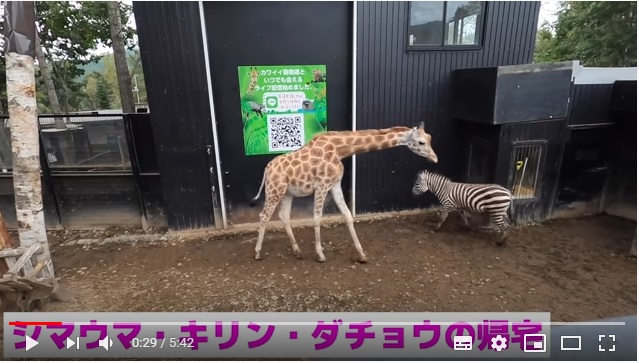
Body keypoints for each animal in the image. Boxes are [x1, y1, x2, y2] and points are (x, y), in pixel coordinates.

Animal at [250, 123, 440, 264]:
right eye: (421, 142)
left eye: (430, 138)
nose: (435, 159)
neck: (340, 150)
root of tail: (267, 169)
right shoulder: (322, 184)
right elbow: (317, 218)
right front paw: (320, 255)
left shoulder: (335, 184)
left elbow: (348, 215)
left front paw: (362, 255)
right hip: (274, 190)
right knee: (264, 215)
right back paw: (257, 253)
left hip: (287, 192)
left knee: (283, 215)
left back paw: (297, 251)